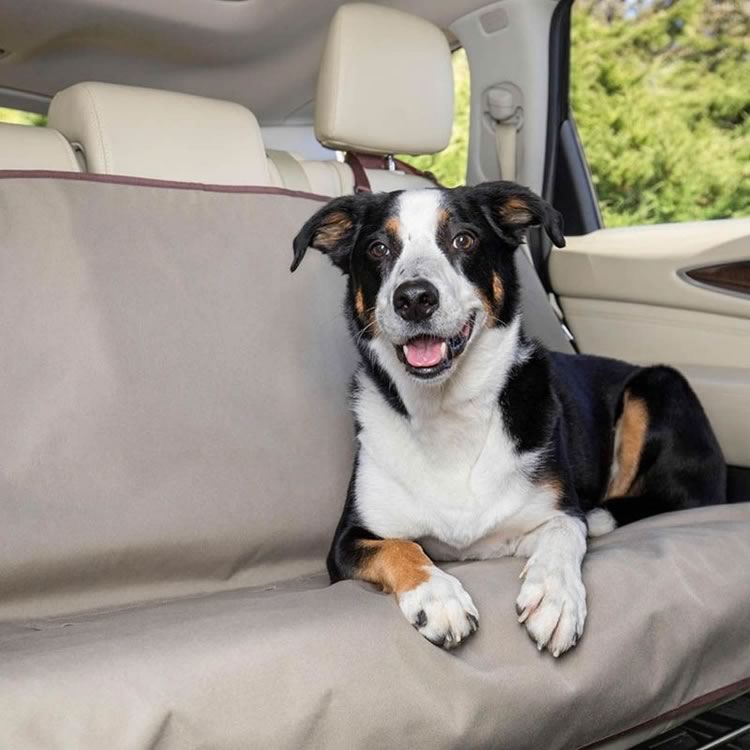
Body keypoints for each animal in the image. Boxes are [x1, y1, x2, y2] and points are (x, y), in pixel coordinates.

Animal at [290, 182, 724, 656]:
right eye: (377, 248)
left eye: (463, 240)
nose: (415, 299)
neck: (448, 412)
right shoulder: (347, 541)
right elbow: (399, 548)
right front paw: (437, 597)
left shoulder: (556, 511)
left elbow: (564, 533)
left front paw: (556, 597)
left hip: (656, 384)